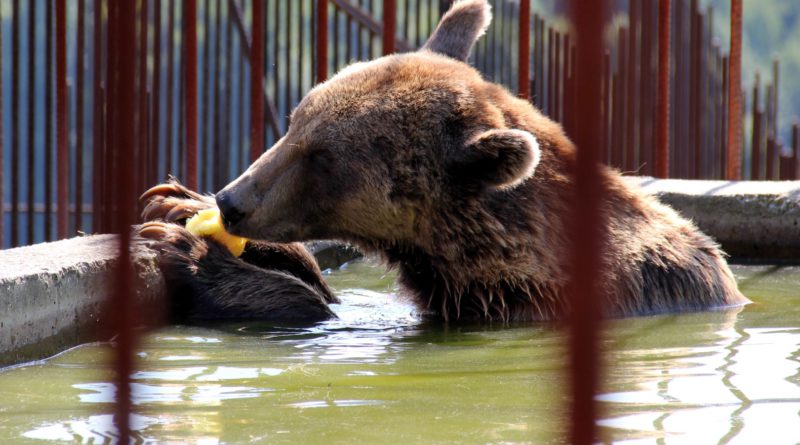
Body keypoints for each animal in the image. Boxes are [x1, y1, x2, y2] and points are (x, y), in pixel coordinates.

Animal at [142, 0, 744, 320]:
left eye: (323, 158)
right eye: (294, 121)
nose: (232, 200)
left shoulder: (522, 301)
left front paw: (191, 254)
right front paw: (176, 206)